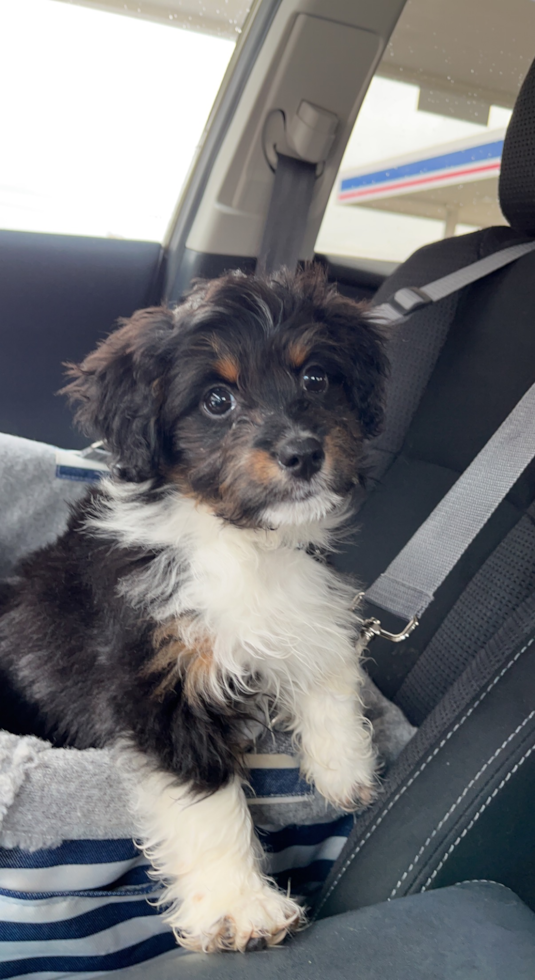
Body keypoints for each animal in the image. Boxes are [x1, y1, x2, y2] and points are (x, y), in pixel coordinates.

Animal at [0, 266, 386, 948]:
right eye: (217, 401)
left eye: (316, 378)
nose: (303, 453)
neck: (243, 541)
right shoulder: (159, 679)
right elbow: (208, 796)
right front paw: (241, 907)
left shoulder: (305, 599)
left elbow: (326, 665)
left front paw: (345, 767)